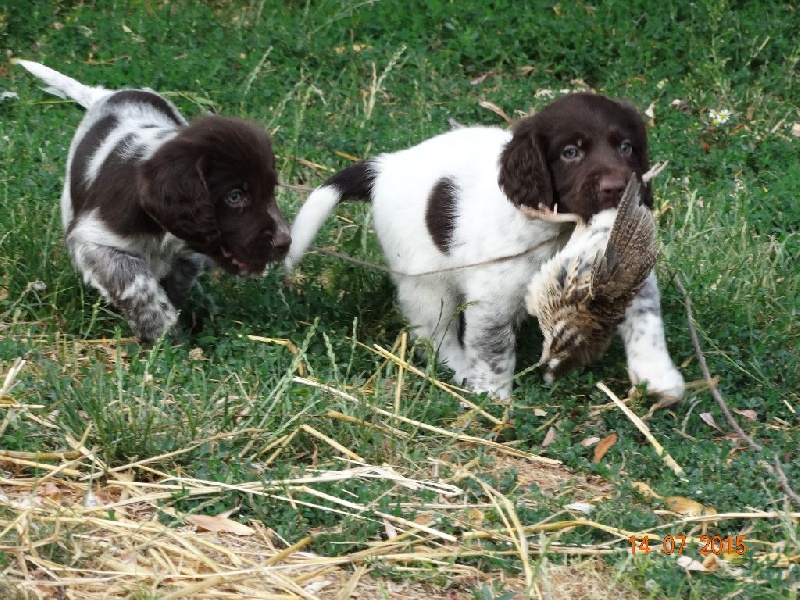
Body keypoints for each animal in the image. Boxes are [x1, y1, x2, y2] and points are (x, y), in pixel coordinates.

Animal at [14, 61, 290, 344]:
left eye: (270, 191)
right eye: (235, 196)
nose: (285, 243)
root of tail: (107, 94)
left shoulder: (188, 254)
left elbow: (176, 282)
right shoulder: (93, 240)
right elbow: (138, 284)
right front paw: (162, 334)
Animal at [284, 94, 684, 400]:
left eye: (626, 147)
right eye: (571, 152)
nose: (619, 188)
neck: (562, 230)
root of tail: (386, 167)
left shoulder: (625, 271)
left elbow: (646, 322)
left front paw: (658, 377)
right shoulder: (494, 295)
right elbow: (493, 348)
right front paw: (492, 396)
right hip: (426, 281)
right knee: (434, 333)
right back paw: (460, 371)